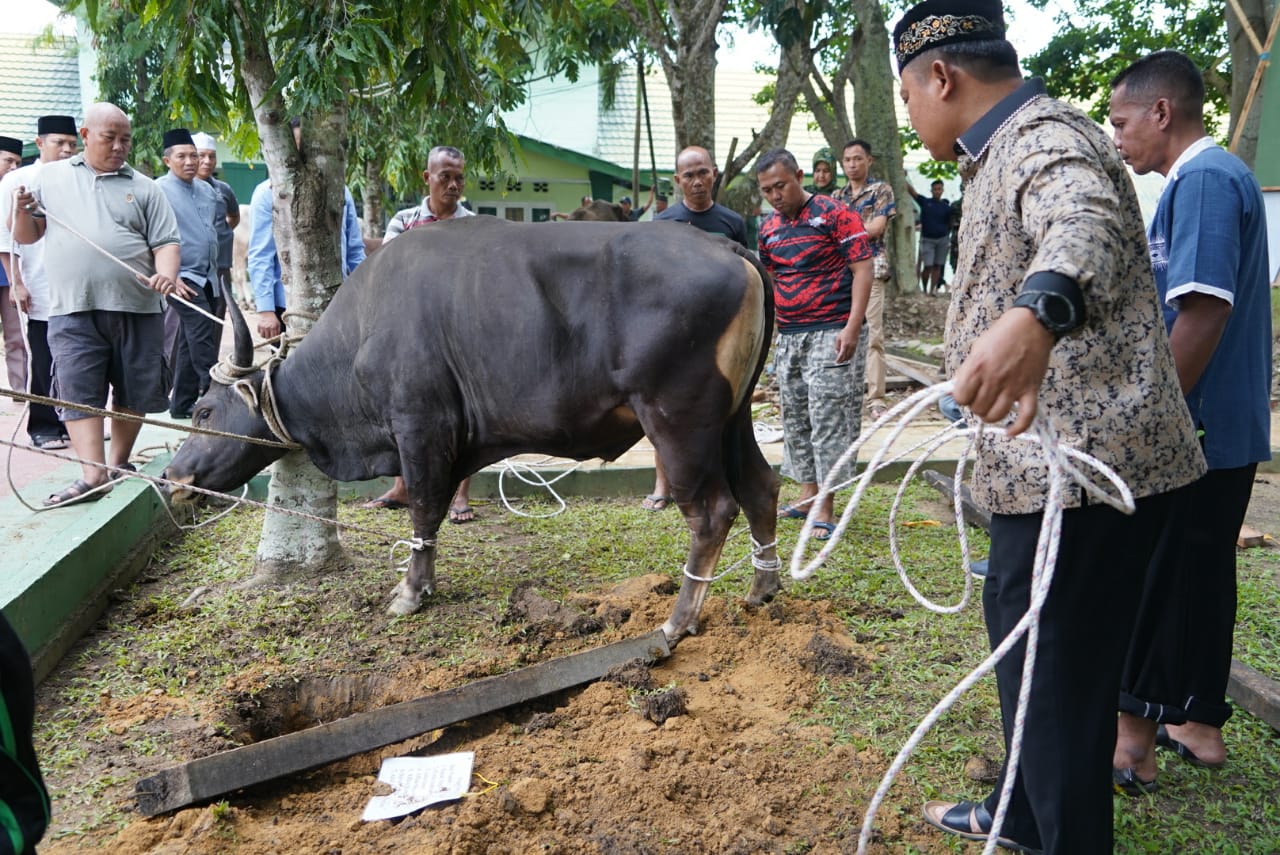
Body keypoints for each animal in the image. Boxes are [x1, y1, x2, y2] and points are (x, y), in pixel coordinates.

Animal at [165, 215, 783, 639]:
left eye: (203, 411)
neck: (361, 333)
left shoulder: (420, 427)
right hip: (732, 420)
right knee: (760, 487)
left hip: (678, 423)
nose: (173, 476)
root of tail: (728, 247)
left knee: (712, 512)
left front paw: (411, 590)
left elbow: (423, 508)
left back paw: (680, 619)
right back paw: (763, 587)